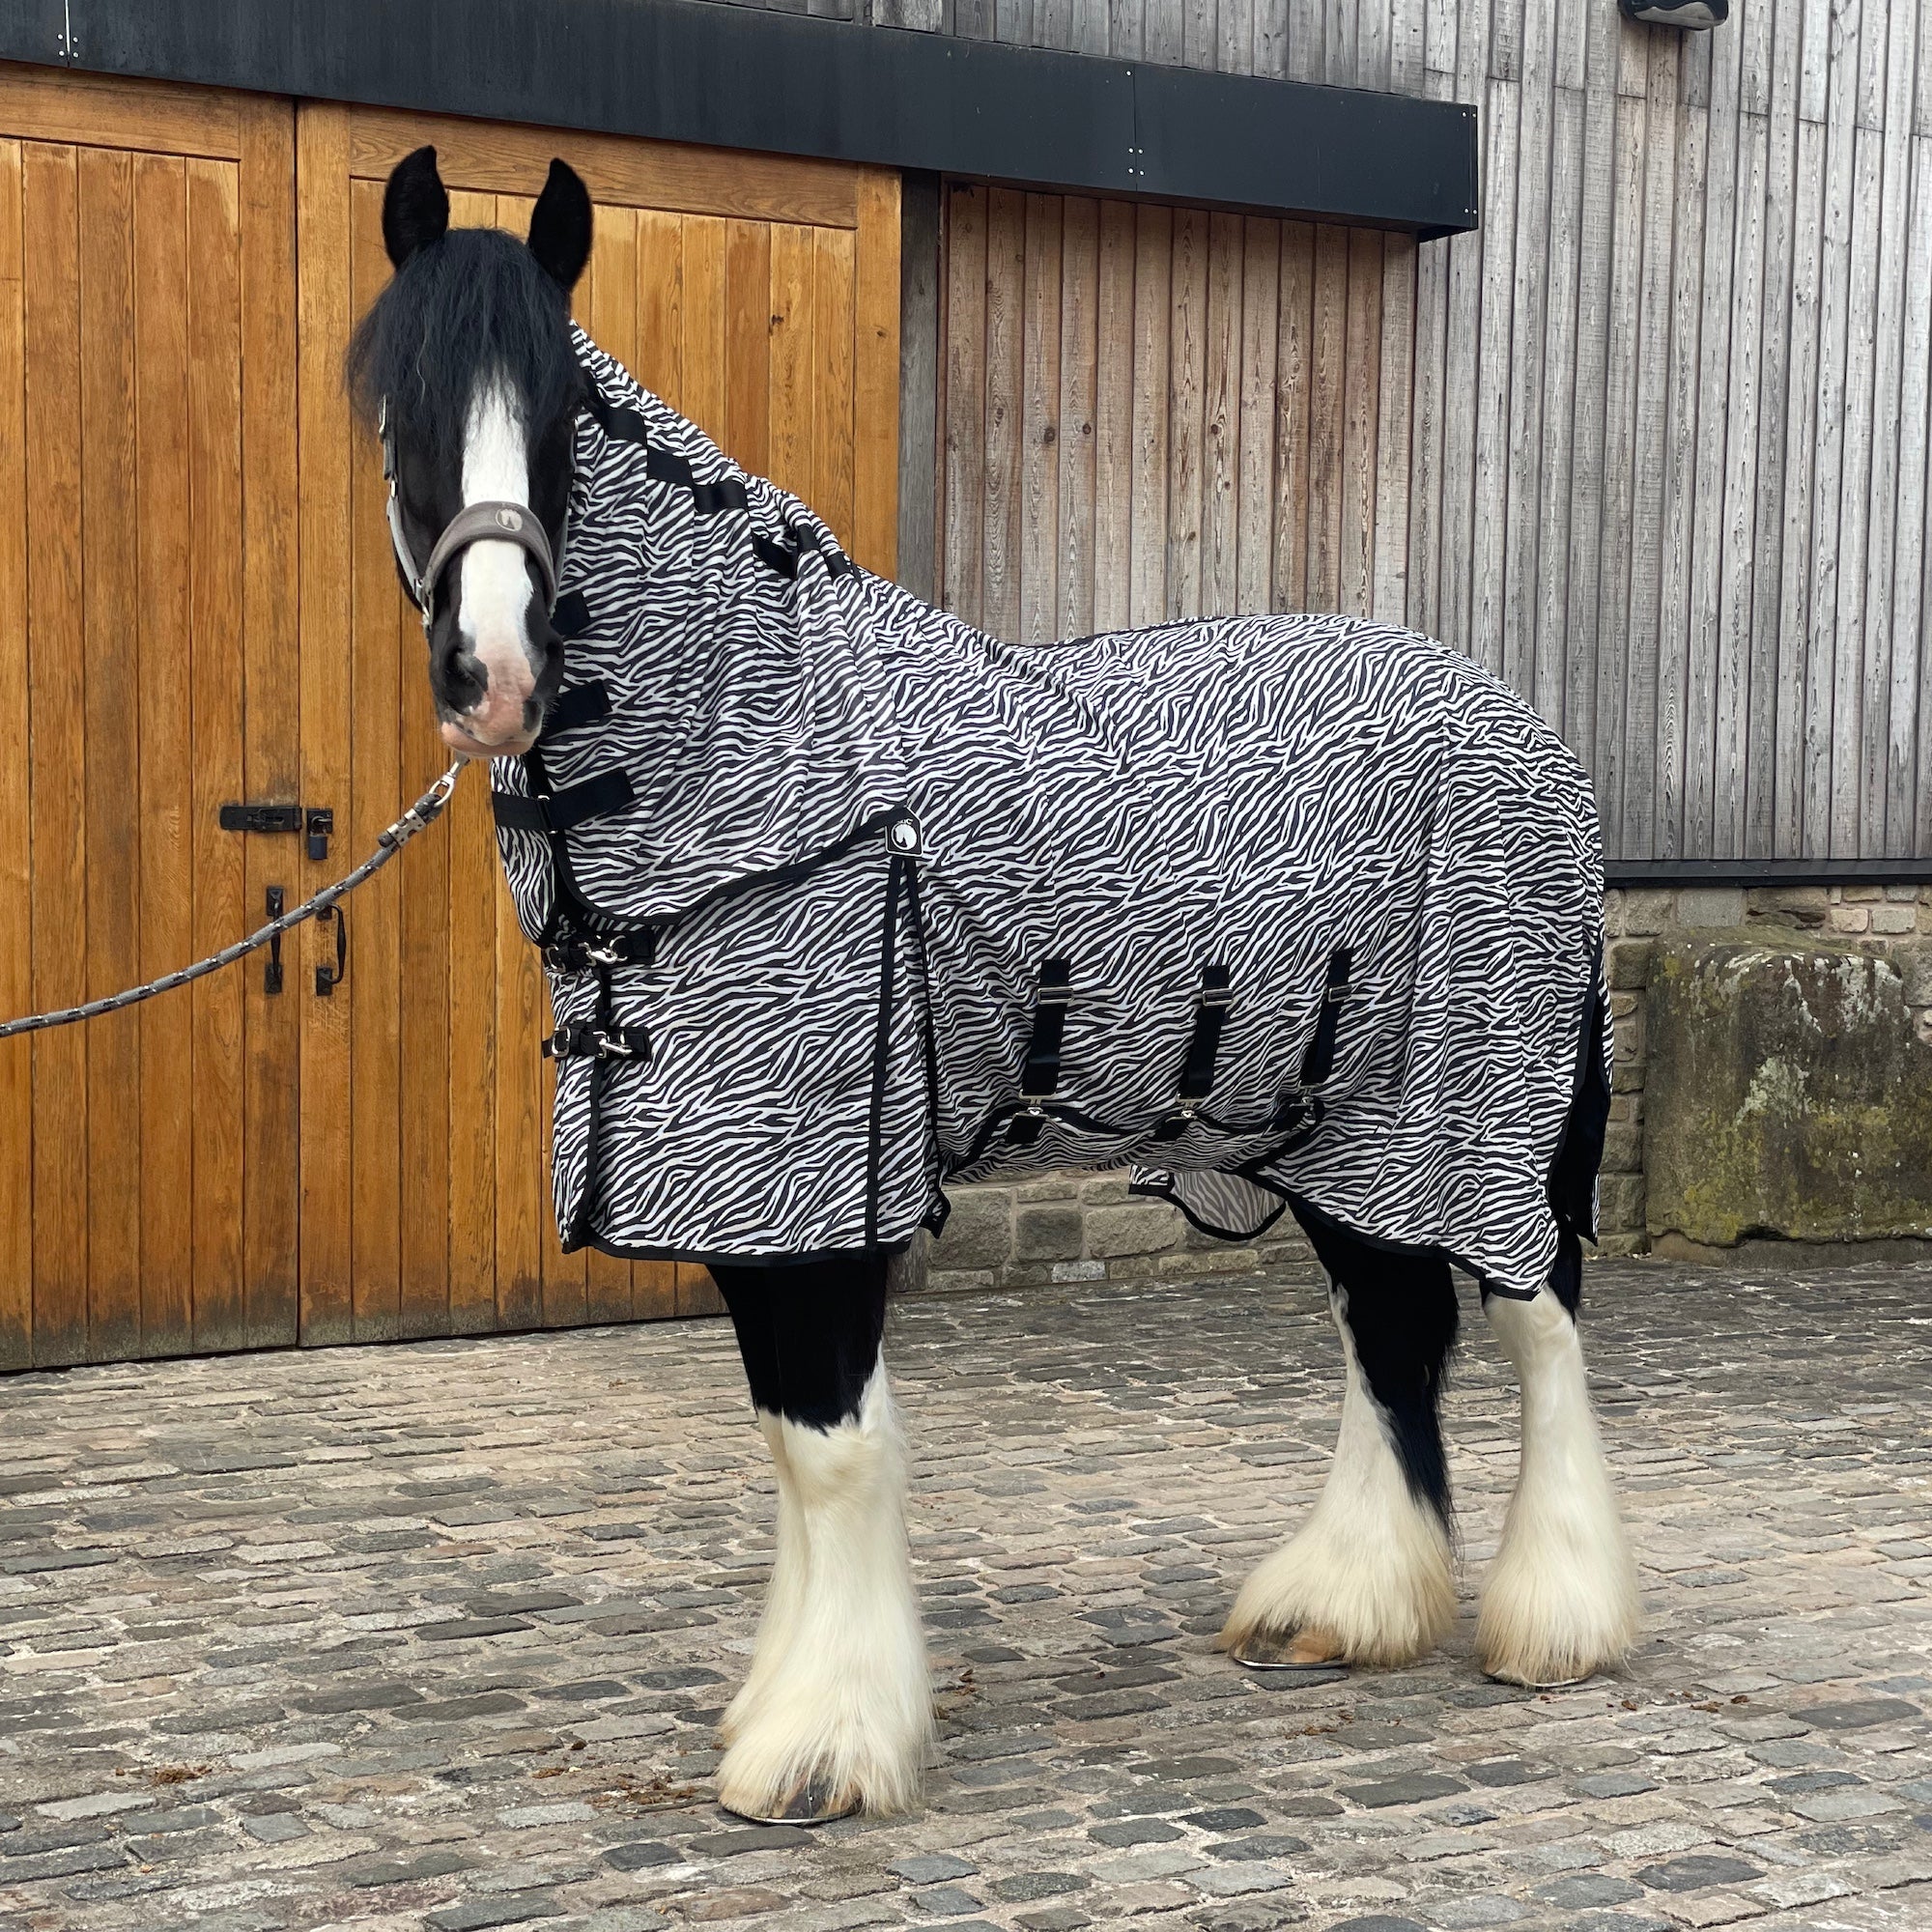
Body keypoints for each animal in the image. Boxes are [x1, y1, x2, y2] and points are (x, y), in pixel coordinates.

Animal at [347, 146, 1639, 1825]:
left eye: (562, 416)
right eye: (399, 414)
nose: (491, 672)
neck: (766, 761)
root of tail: (1527, 731)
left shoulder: (817, 1174)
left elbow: (833, 1447)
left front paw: (823, 1745)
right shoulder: (752, 1195)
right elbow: (789, 1442)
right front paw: (790, 1703)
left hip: (1483, 1107)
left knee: (1535, 1323)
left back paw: (1556, 1624)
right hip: (1342, 1132)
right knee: (1391, 1329)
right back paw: (1347, 1605)